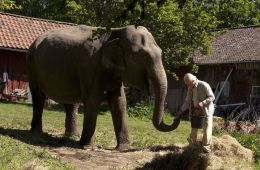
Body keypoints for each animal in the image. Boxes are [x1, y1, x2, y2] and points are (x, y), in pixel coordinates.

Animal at [26, 24, 181, 150]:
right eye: (142, 56)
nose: (176, 116)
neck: (116, 31)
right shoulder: (90, 66)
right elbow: (93, 99)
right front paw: (87, 147)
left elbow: (119, 100)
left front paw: (124, 148)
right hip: (31, 63)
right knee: (38, 97)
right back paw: (37, 133)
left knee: (70, 102)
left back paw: (72, 136)